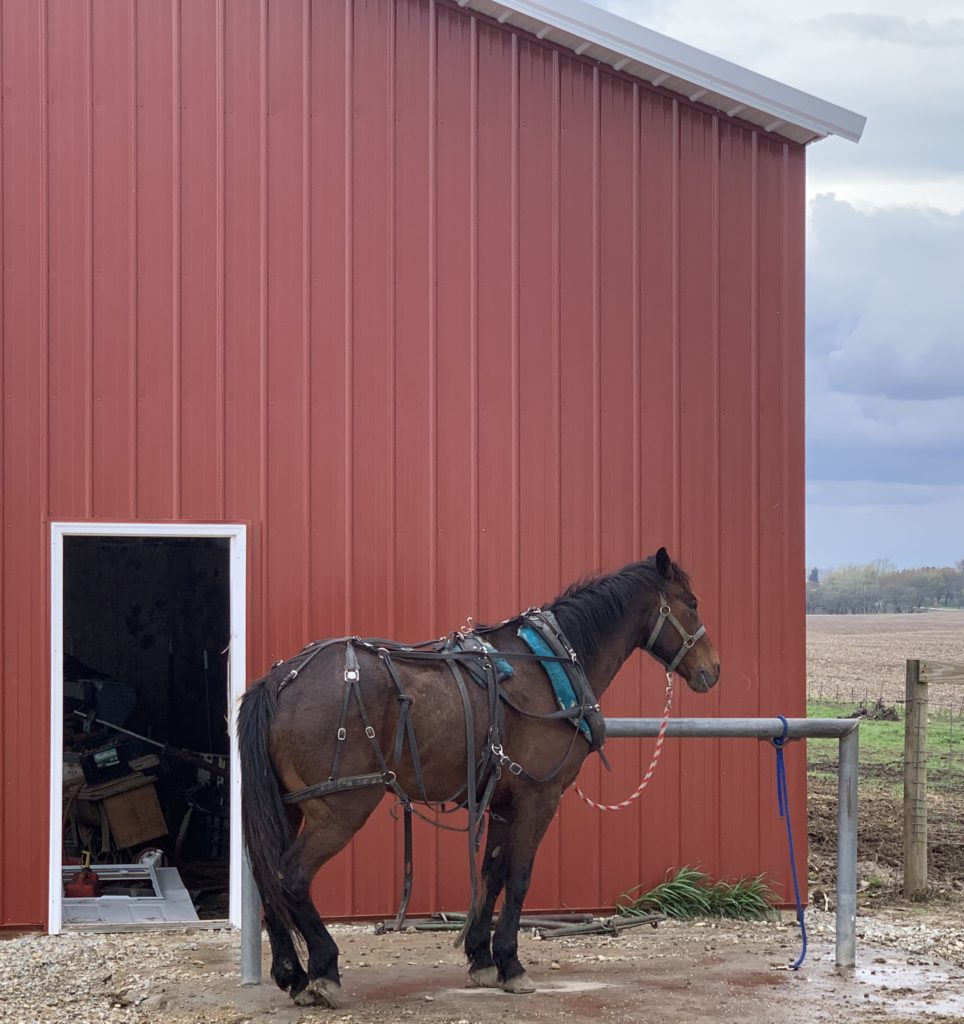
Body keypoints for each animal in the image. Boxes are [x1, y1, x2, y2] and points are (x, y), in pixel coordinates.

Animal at [236, 548, 717, 1003]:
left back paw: (293, 976)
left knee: (268, 879)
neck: (549, 664)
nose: (712, 670)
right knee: (292, 876)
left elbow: (492, 873)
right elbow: (519, 878)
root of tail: (279, 681)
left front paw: (482, 959)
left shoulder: (502, 801)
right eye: (691, 602)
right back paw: (324, 970)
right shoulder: (539, 796)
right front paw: (511, 964)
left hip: (292, 807)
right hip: (339, 808)